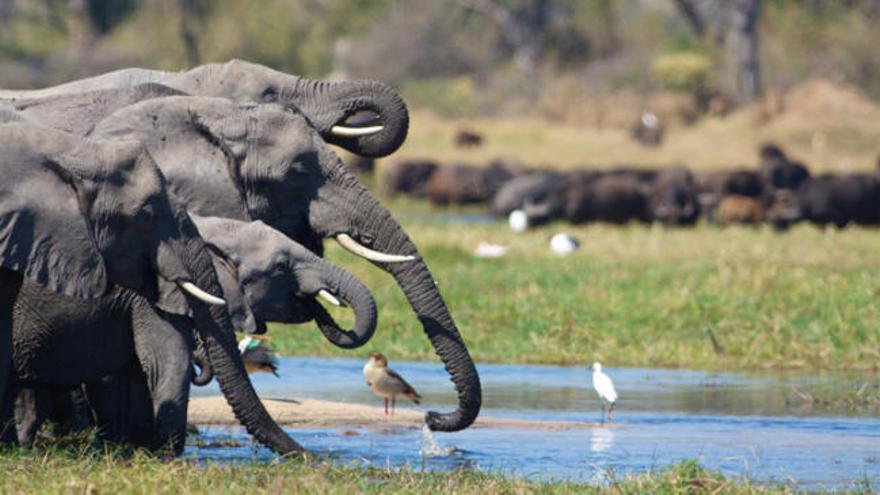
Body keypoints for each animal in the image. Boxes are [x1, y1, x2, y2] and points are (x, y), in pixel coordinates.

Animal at [12, 215, 378, 452]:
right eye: (281, 267)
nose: (319, 458)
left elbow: (132, 371)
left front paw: (133, 449)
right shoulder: (156, 292)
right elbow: (166, 361)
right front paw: (165, 456)